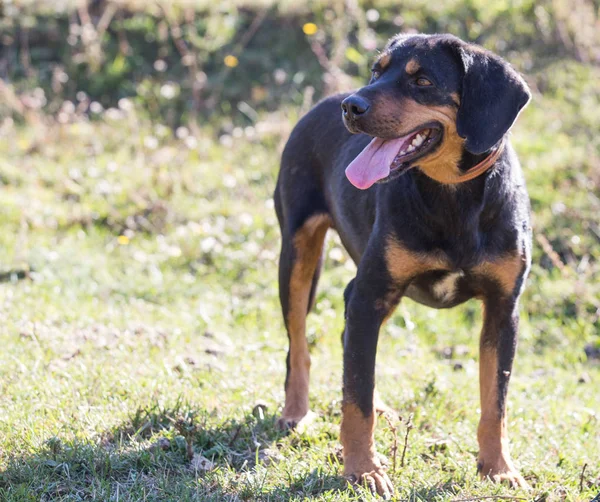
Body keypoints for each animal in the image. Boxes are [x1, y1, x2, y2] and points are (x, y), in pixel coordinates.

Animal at [274, 32, 532, 498]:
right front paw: (363, 470)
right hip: (299, 255)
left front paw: (498, 468)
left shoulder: (504, 310)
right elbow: (355, 399)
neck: (452, 195)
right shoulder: (369, 294)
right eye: (377, 71)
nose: (351, 106)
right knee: (300, 345)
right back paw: (296, 412)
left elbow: (495, 401)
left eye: (422, 80)